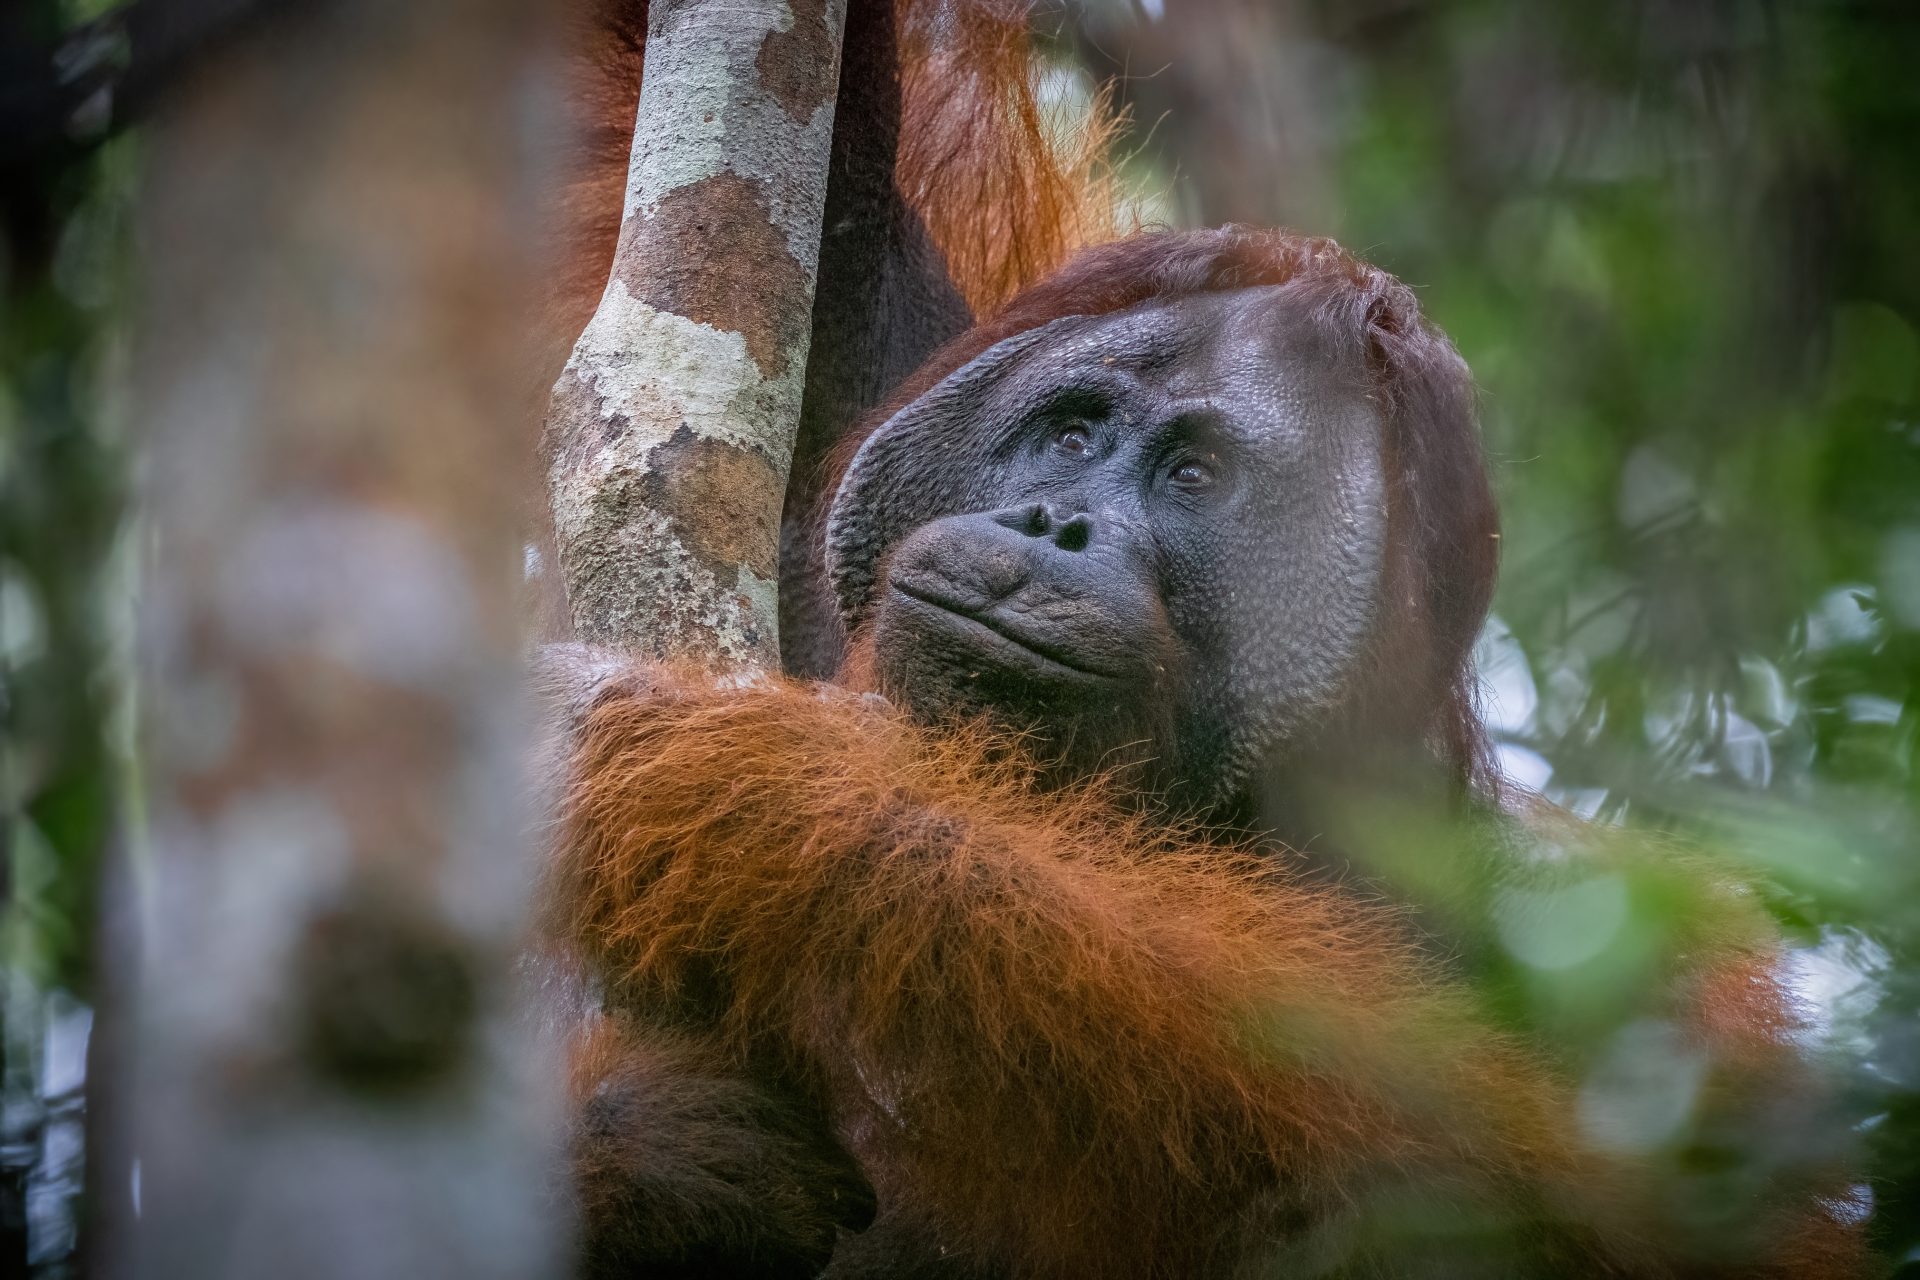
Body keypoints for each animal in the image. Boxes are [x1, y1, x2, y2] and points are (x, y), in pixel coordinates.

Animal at [539, 225, 1866, 1278]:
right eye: (1074, 434)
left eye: (1193, 475)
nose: (1056, 523)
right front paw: (641, 1146)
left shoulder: (1633, 958)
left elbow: (1503, 1173)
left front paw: (724, 779)